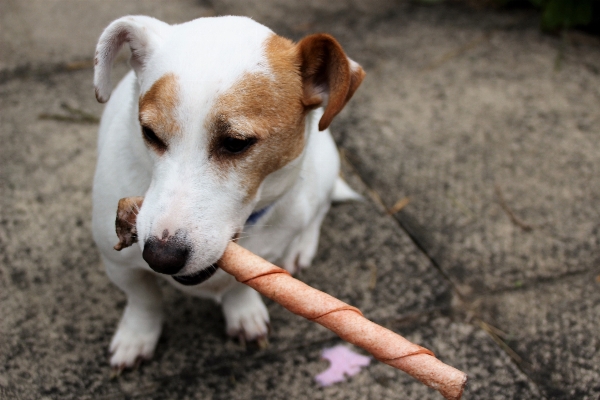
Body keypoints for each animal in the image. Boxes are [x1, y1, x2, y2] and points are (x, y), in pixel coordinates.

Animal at [92, 16, 366, 372]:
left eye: (236, 143)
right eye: (149, 133)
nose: (161, 257)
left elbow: (239, 287)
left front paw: (243, 311)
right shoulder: (119, 264)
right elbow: (144, 300)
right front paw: (137, 336)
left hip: (323, 171)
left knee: (318, 211)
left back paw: (301, 247)